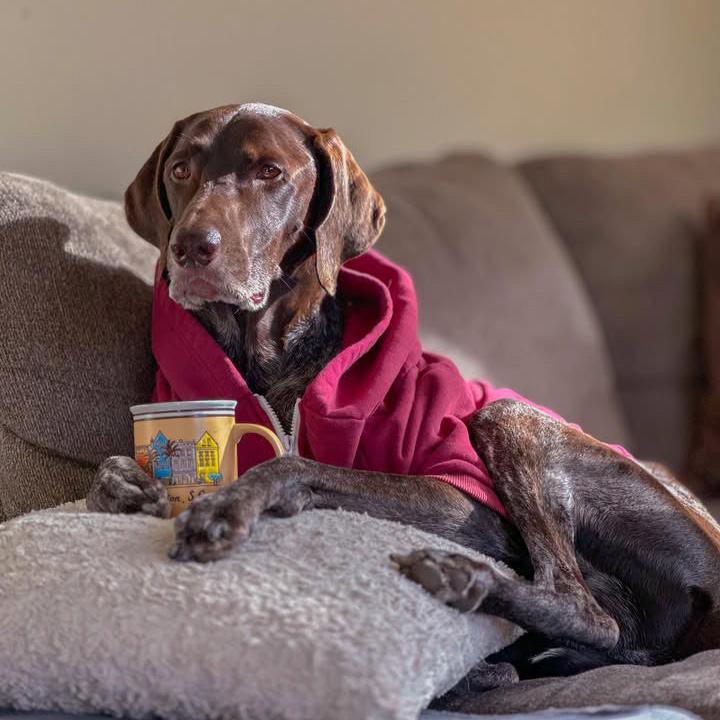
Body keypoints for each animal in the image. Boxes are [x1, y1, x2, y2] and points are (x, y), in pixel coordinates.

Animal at [88, 102, 720, 704]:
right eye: (180, 170)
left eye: (269, 172)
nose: (190, 246)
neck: (265, 357)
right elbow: (110, 473)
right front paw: (124, 485)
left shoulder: (464, 503)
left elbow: (295, 463)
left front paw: (225, 505)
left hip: (507, 416)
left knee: (586, 609)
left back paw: (460, 579)